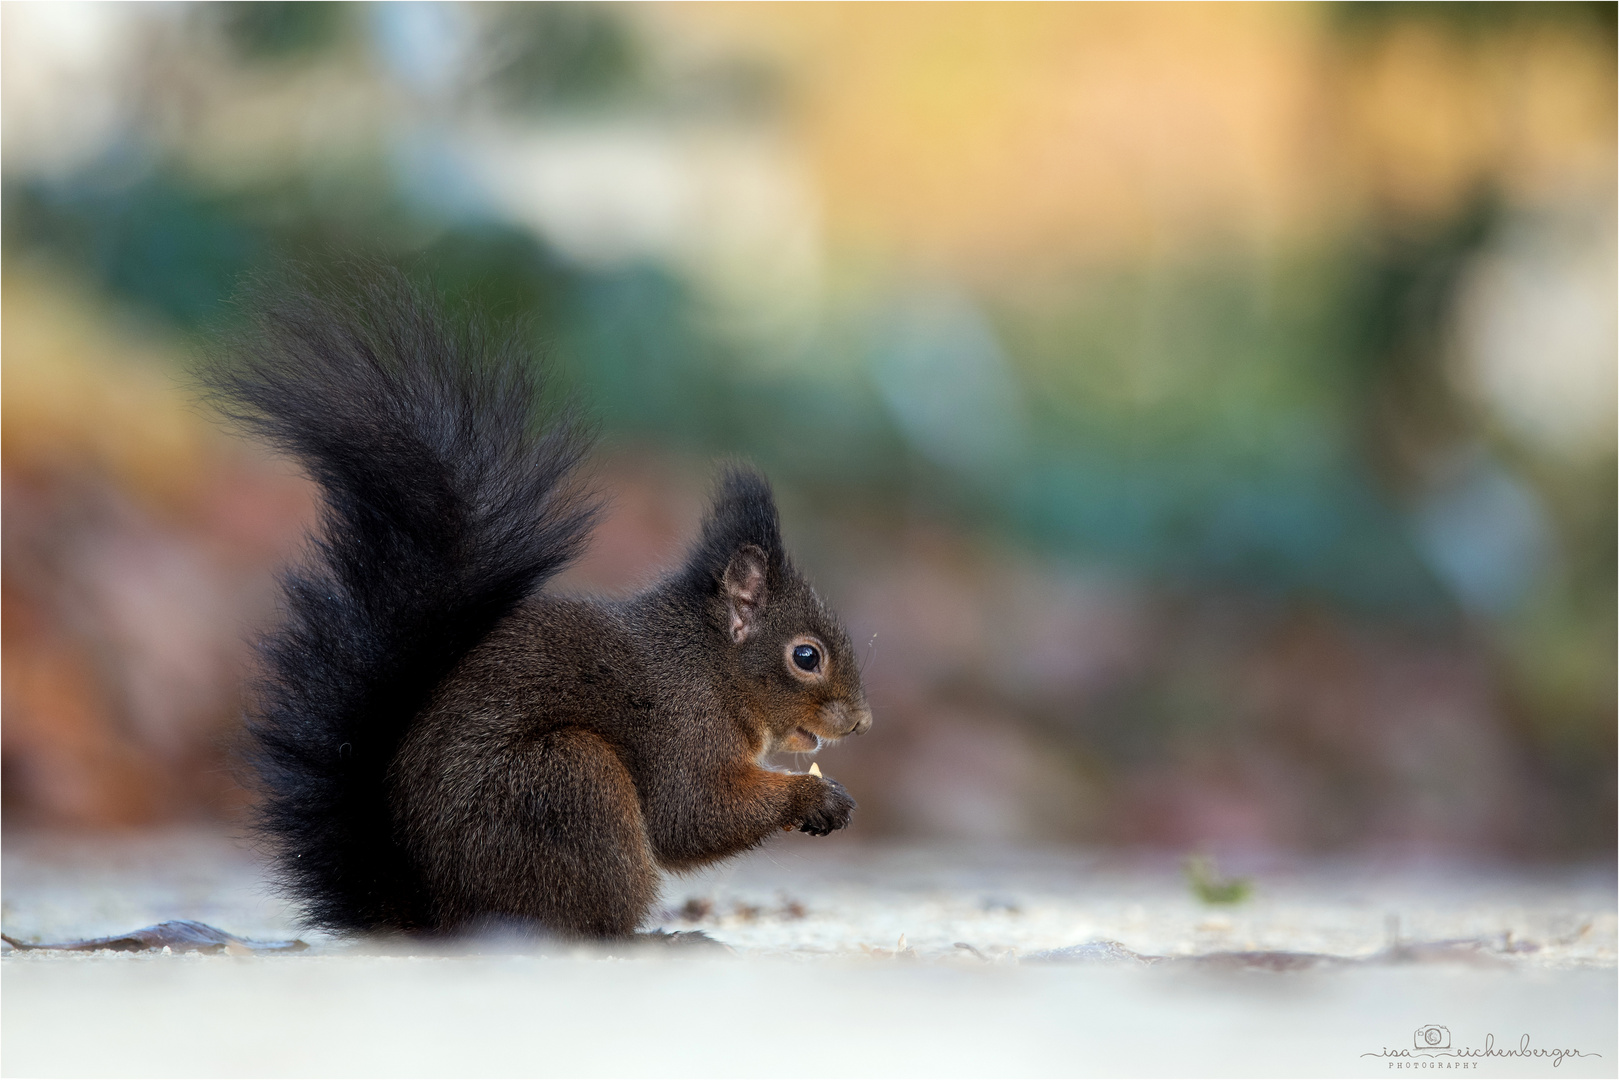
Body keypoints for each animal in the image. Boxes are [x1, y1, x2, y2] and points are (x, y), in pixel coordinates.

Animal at [208, 265, 880, 939]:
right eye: (806, 656)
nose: (862, 721)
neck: (709, 665)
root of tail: (437, 914)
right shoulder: (681, 728)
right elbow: (692, 814)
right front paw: (816, 797)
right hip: (570, 782)